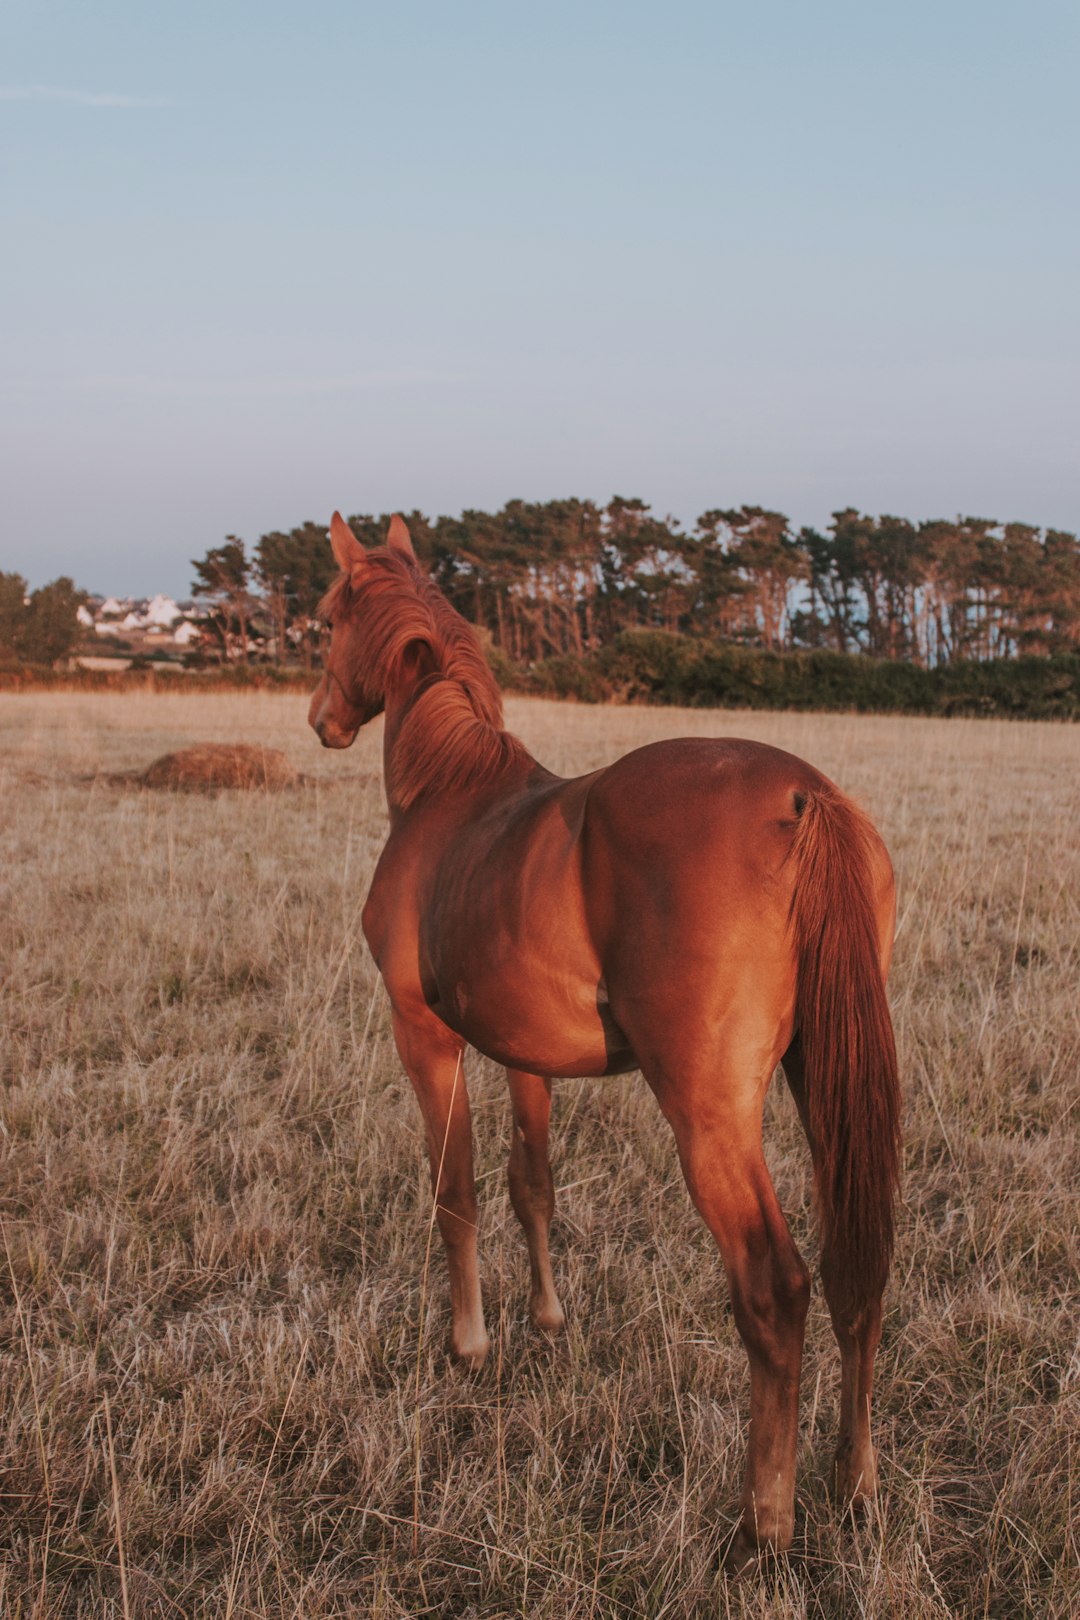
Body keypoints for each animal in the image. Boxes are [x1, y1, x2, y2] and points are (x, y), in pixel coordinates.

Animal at [307, 511, 900, 1561]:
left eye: (327, 619)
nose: (320, 718)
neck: (447, 796)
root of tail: (806, 798)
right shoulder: (524, 1056)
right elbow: (531, 1184)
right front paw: (547, 1320)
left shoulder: (425, 1037)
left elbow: (456, 1190)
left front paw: (470, 1346)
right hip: (825, 1083)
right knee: (853, 1273)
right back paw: (855, 1484)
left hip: (710, 1116)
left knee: (775, 1289)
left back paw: (767, 1522)